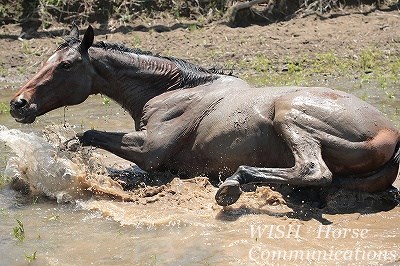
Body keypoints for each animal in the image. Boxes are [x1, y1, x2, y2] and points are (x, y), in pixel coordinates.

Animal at [9, 25, 400, 206]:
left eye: (66, 65)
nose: (18, 104)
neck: (173, 89)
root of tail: (392, 137)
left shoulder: (149, 150)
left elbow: (87, 135)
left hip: (290, 115)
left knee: (313, 171)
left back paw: (234, 184)